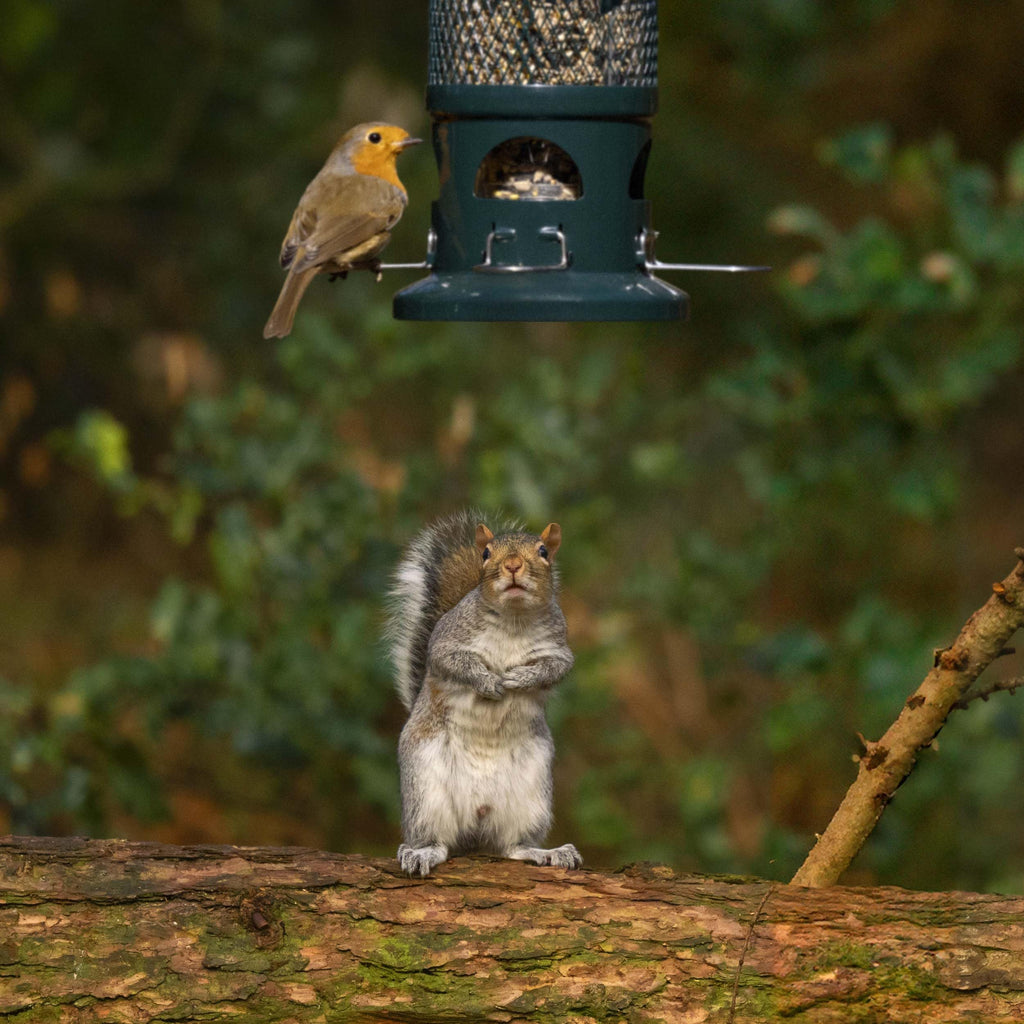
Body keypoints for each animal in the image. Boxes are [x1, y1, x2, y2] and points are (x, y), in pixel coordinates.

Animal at [387, 510, 581, 877]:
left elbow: (554, 669)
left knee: (512, 846)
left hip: (532, 795)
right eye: (487, 553)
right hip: (426, 791)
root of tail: (476, 819)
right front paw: (489, 681)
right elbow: (453, 662)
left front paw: (520, 678)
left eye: (544, 552)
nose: (513, 565)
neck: (513, 619)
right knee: (437, 841)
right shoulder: (446, 641)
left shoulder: (559, 650)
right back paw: (421, 853)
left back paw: (549, 852)